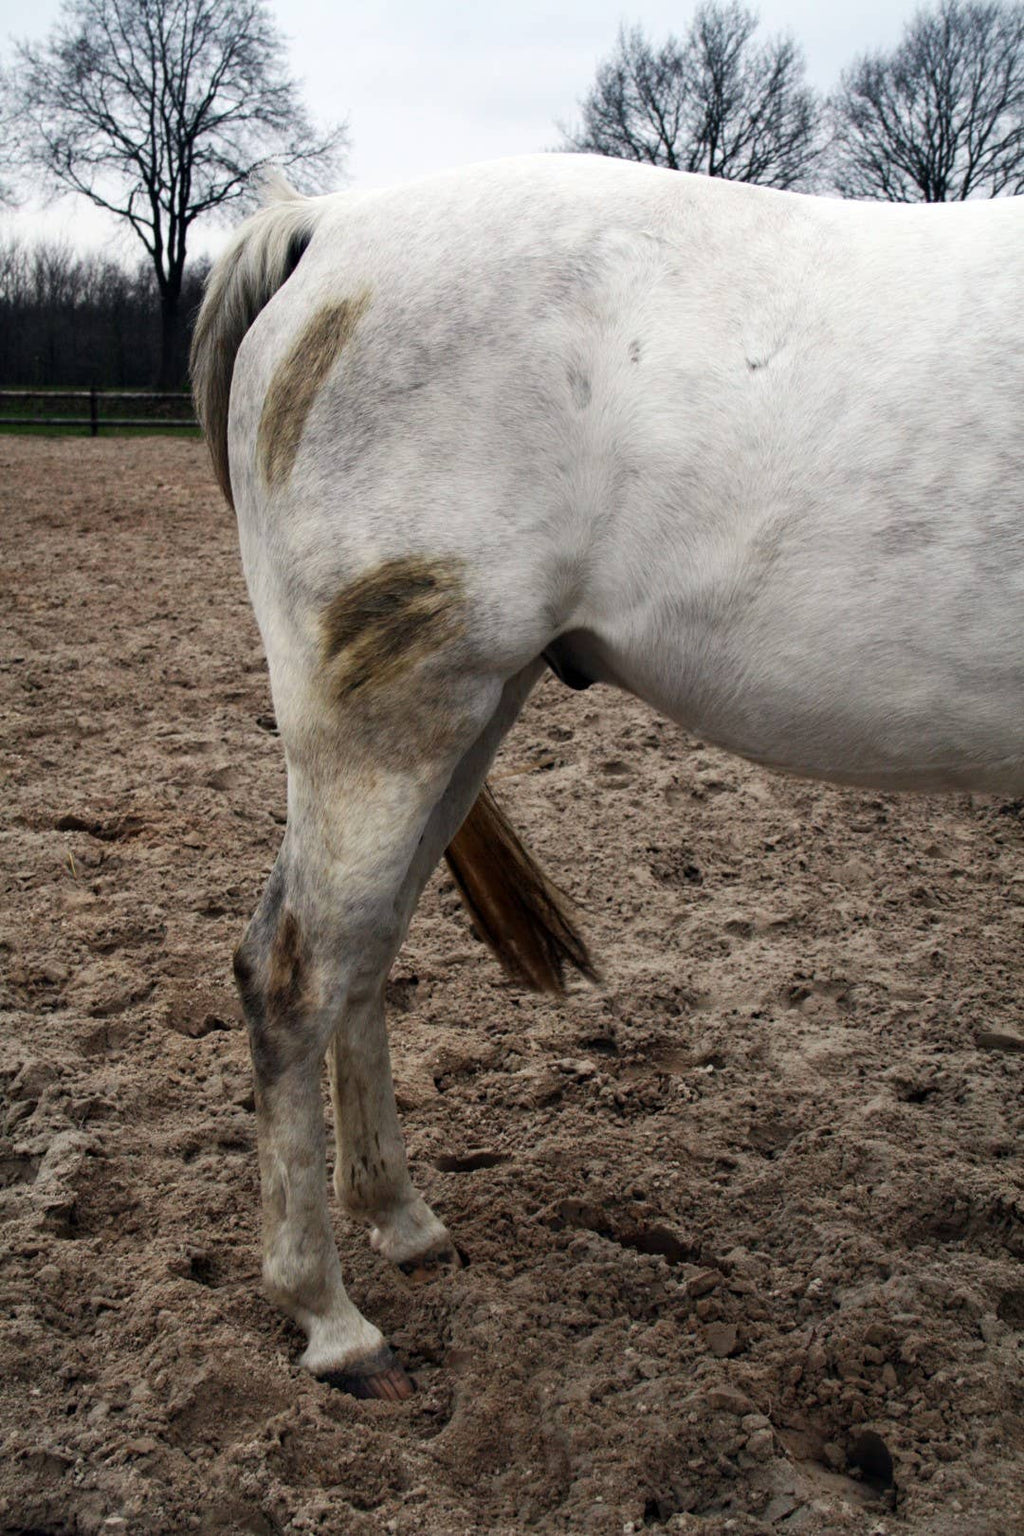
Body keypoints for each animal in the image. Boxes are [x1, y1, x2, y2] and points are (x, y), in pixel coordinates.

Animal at [190, 153, 1024, 1400]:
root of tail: (325, 227)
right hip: (395, 716)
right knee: (293, 974)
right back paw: (330, 1319)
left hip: (467, 711)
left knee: (362, 954)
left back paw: (401, 1219)